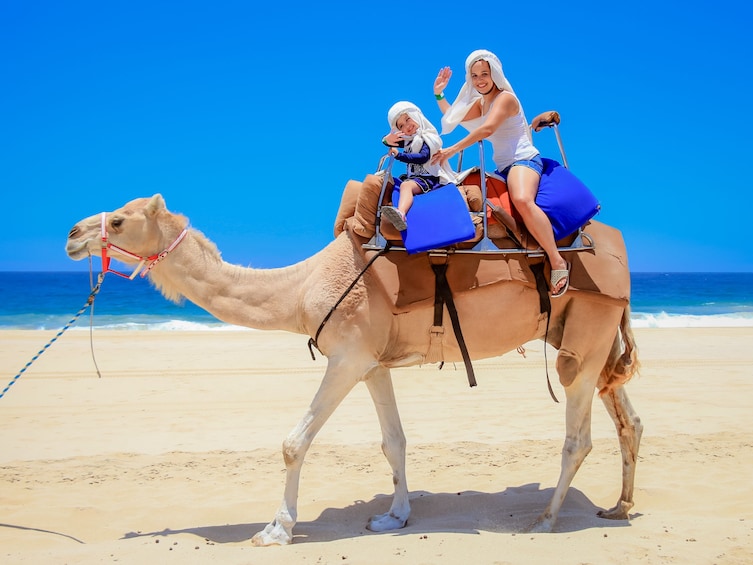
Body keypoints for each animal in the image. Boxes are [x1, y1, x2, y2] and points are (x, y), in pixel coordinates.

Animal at [66, 192, 640, 544]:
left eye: (118, 220)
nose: (72, 234)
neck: (300, 289)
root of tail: (619, 255)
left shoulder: (347, 355)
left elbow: (294, 443)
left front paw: (276, 530)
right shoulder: (372, 363)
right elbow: (395, 441)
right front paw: (394, 516)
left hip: (584, 337)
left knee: (578, 437)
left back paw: (544, 521)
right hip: (590, 335)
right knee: (628, 421)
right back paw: (618, 507)